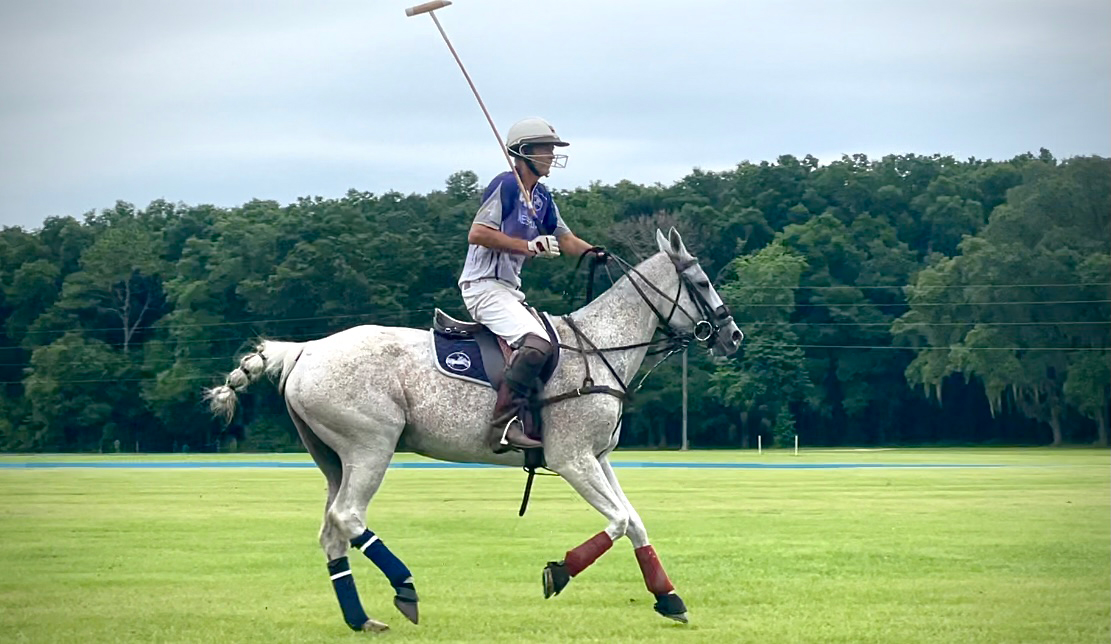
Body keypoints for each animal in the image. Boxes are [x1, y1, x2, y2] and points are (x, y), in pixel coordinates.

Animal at [208, 228, 746, 630]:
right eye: (701, 281)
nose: (733, 336)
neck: (598, 348)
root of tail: (305, 350)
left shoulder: (599, 457)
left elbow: (634, 521)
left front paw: (669, 599)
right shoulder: (571, 458)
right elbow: (616, 520)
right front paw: (558, 572)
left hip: (333, 459)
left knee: (331, 533)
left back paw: (361, 619)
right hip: (371, 445)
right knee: (348, 517)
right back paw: (405, 587)